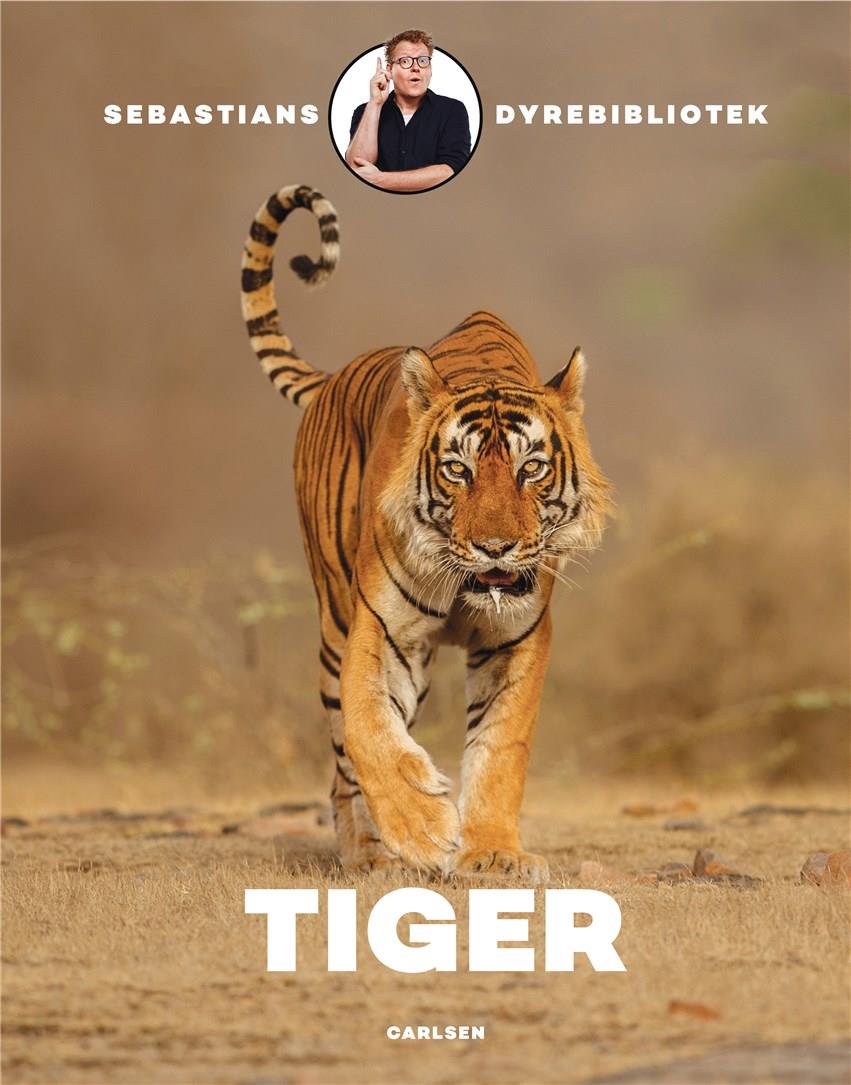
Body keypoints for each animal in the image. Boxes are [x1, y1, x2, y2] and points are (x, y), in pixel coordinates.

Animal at [241, 184, 611, 881]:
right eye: (457, 470)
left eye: (531, 468)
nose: (495, 548)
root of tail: (332, 378)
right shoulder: (379, 629)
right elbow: (367, 727)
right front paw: (422, 827)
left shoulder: (518, 637)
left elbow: (502, 745)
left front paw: (493, 853)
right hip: (333, 619)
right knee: (342, 757)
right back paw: (370, 855)